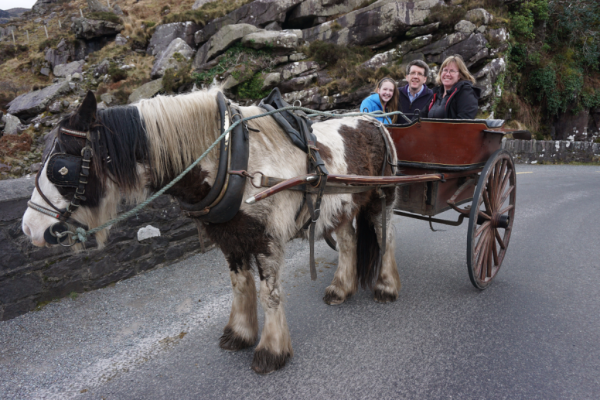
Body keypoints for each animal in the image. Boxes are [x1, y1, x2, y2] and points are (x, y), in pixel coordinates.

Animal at [21, 88, 400, 376]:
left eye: (61, 167)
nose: (29, 228)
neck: (232, 157)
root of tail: (374, 121)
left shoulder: (265, 238)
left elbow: (269, 294)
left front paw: (271, 350)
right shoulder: (231, 237)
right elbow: (240, 285)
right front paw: (240, 333)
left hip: (382, 196)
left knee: (385, 237)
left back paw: (386, 286)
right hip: (342, 206)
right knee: (349, 242)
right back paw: (341, 288)